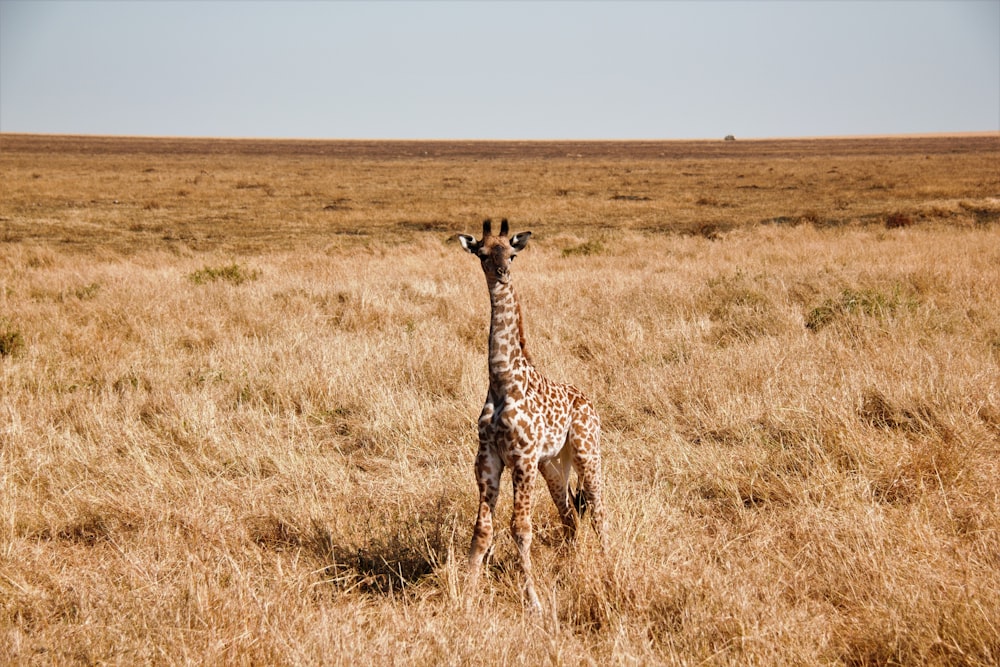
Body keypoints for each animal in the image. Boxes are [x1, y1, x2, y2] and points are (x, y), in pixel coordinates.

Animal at [458, 220, 604, 616]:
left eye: (511, 253)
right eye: (482, 253)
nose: (502, 274)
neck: (501, 379)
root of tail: (588, 400)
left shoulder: (522, 459)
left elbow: (520, 529)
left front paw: (534, 601)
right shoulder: (488, 460)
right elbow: (483, 530)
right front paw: (467, 597)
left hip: (587, 452)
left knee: (597, 509)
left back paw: (606, 566)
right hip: (553, 464)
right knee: (570, 515)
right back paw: (572, 566)